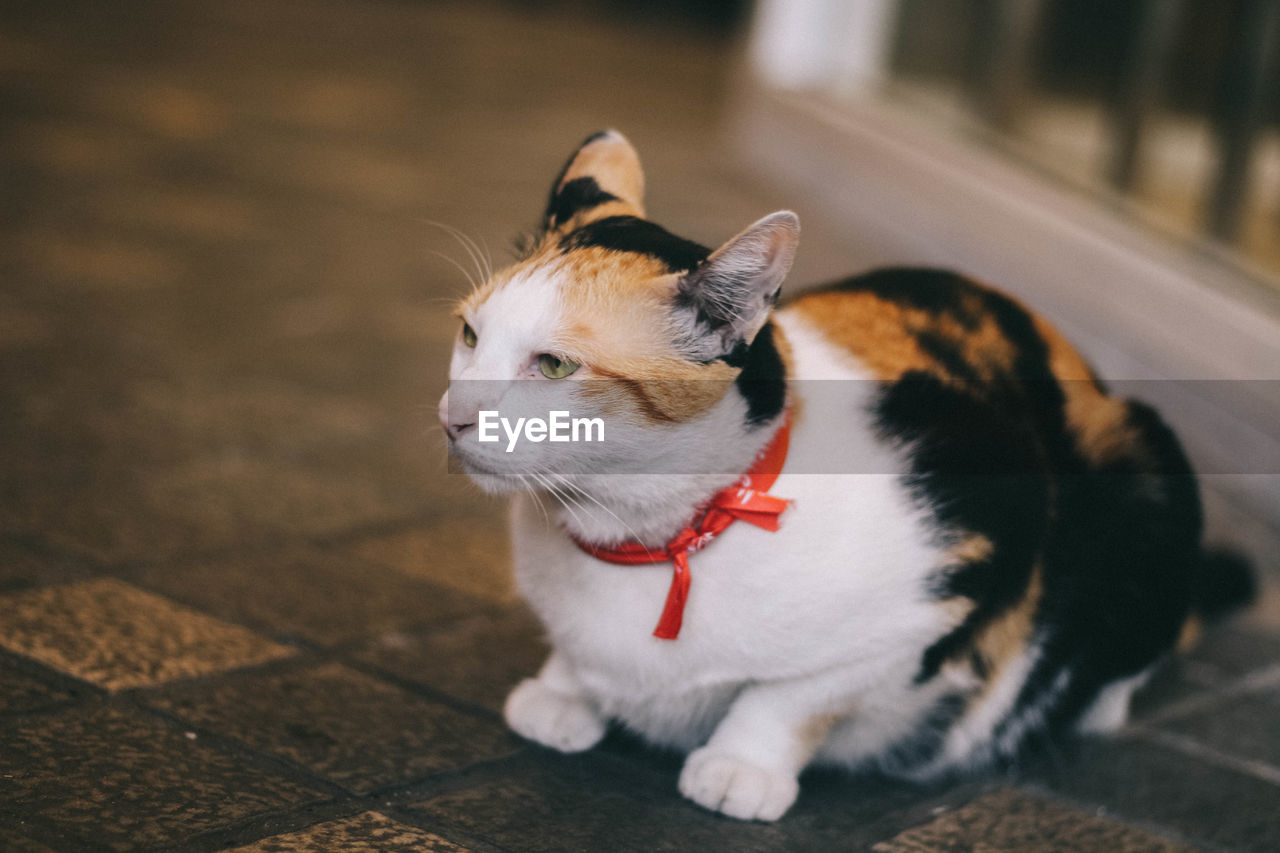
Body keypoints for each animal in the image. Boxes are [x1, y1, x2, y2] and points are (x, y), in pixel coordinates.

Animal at [440, 128, 1249, 819]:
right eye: (470, 334)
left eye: (554, 365)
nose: (454, 414)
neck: (653, 539)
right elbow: (577, 656)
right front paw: (562, 692)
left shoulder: (943, 585)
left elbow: (790, 697)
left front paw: (740, 767)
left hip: (1144, 467)